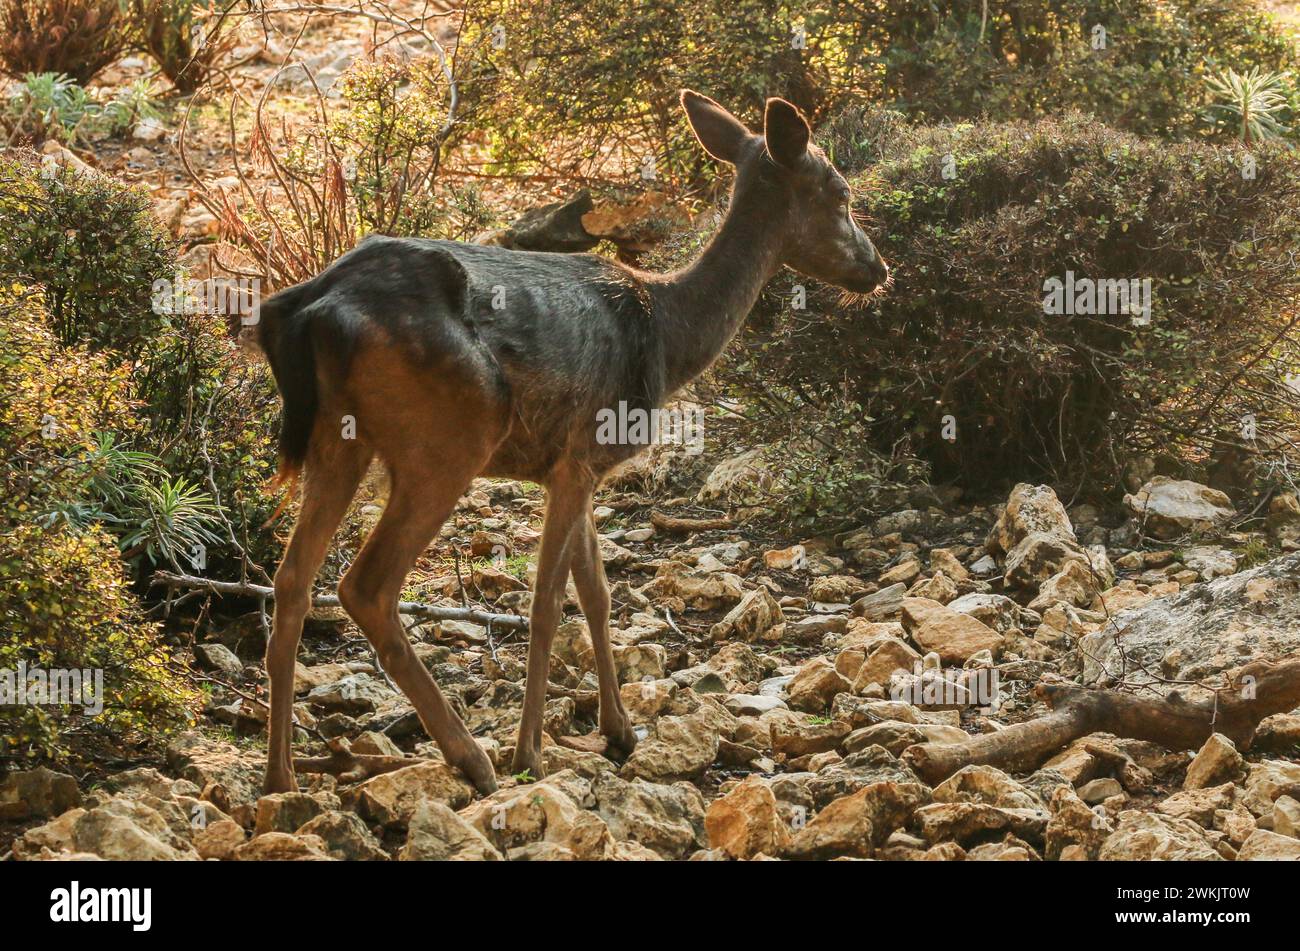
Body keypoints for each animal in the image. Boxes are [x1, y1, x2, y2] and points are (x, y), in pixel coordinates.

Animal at [254, 90, 889, 795]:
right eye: (839, 192)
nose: (877, 268)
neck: (671, 337)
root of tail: (309, 309)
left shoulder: (582, 464)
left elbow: (598, 593)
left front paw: (620, 730)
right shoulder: (581, 452)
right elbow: (548, 603)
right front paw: (530, 752)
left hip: (338, 440)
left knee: (290, 580)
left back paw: (281, 777)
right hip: (449, 439)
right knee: (365, 586)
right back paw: (472, 758)